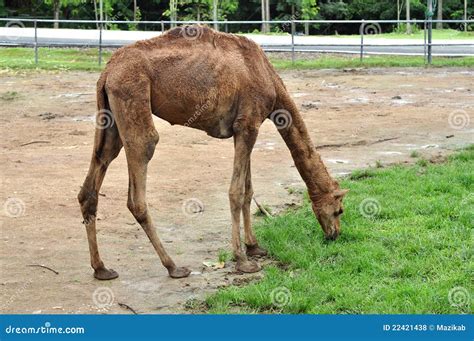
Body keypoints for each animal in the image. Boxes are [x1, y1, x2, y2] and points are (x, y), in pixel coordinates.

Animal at [78, 24, 348, 278]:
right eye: (339, 210)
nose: (334, 235)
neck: (268, 76)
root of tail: (107, 72)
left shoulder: (244, 128)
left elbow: (248, 190)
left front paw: (254, 247)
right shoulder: (248, 124)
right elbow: (236, 192)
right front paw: (242, 261)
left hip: (110, 119)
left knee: (92, 182)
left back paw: (101, 268)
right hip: (132, 96)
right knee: (141, 169)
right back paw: (173, 266)